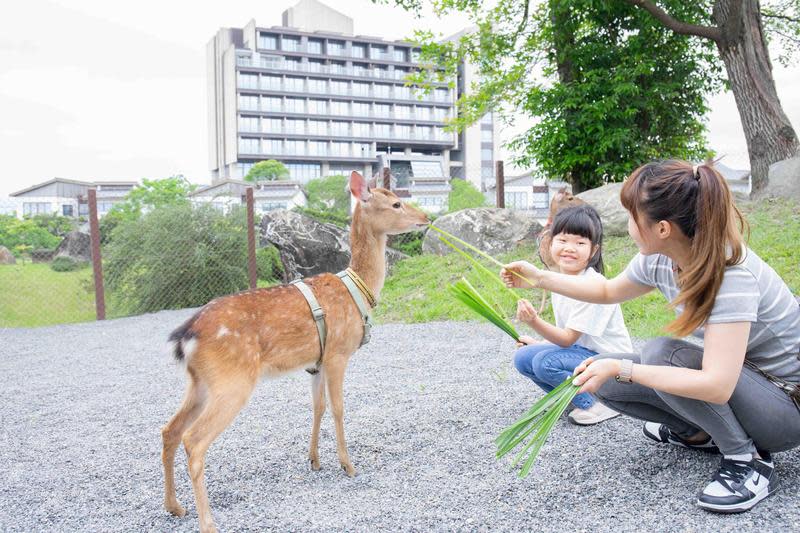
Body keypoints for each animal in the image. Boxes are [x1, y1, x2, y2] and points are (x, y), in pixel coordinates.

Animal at [162, 171, 432, 532]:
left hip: (200, 381)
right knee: (194, 440)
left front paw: (314, 460)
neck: (359, 290)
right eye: (396, 203)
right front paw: (348, 465)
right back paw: (208, 522)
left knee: (169, 430)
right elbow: (338, 408)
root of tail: (186, 335)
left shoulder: (315, 362)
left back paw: (174, 507)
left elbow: (317, 407)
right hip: (232, 381)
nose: (425, 218)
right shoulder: (337, 353)